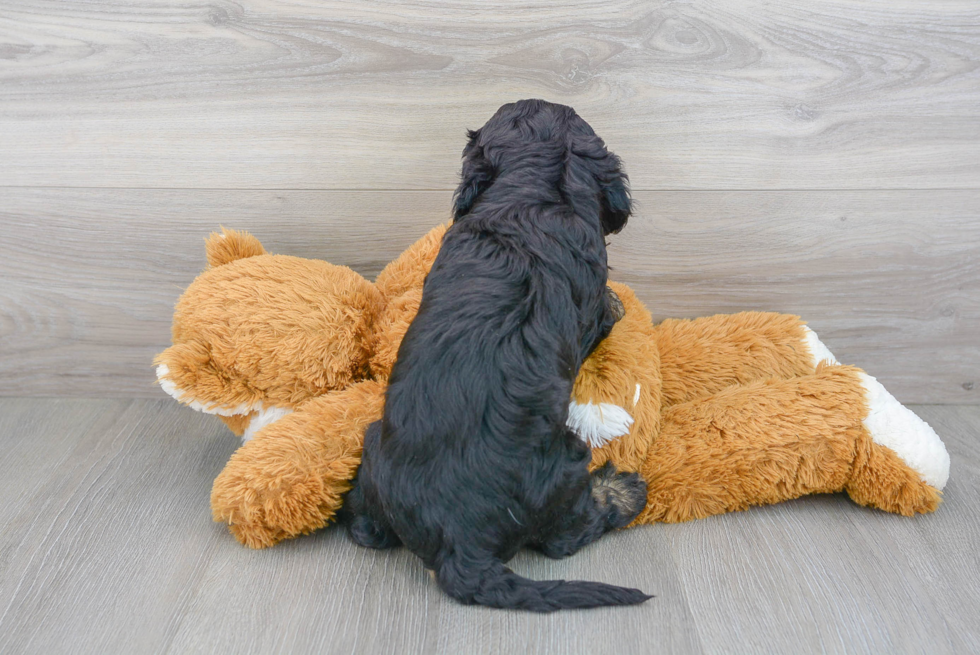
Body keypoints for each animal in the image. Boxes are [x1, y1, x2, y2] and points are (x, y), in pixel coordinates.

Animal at [344, 100, 652, 612]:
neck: (529, 195)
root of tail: (459, 544)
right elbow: (607, 309)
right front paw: (618, 302)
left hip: (373, 443)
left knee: (367, 529)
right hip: (566, 466)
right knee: (565, 536)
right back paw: (623, 492)